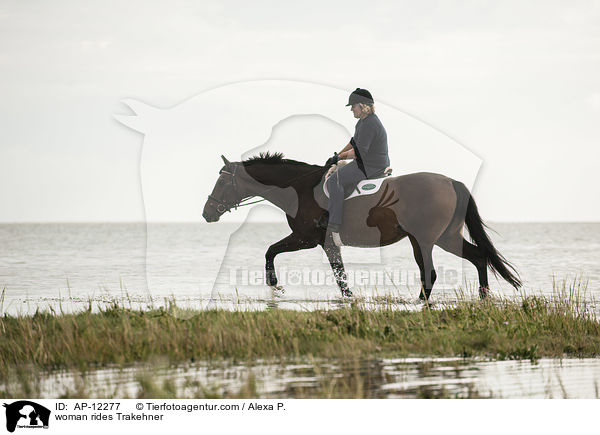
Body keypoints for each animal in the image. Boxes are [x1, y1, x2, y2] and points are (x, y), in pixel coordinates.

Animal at [203, 152, 520, 300]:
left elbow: (271, 251)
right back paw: (483, 297)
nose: (207, 213)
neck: (299, 188)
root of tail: (452, 182)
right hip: (447, 237)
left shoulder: (305, 237)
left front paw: (274, 285)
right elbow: (339, 274)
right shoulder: (324, 242)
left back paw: (420, 302)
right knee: (479, 257)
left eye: (222, 182)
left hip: (426, 239)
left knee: (430, 273)